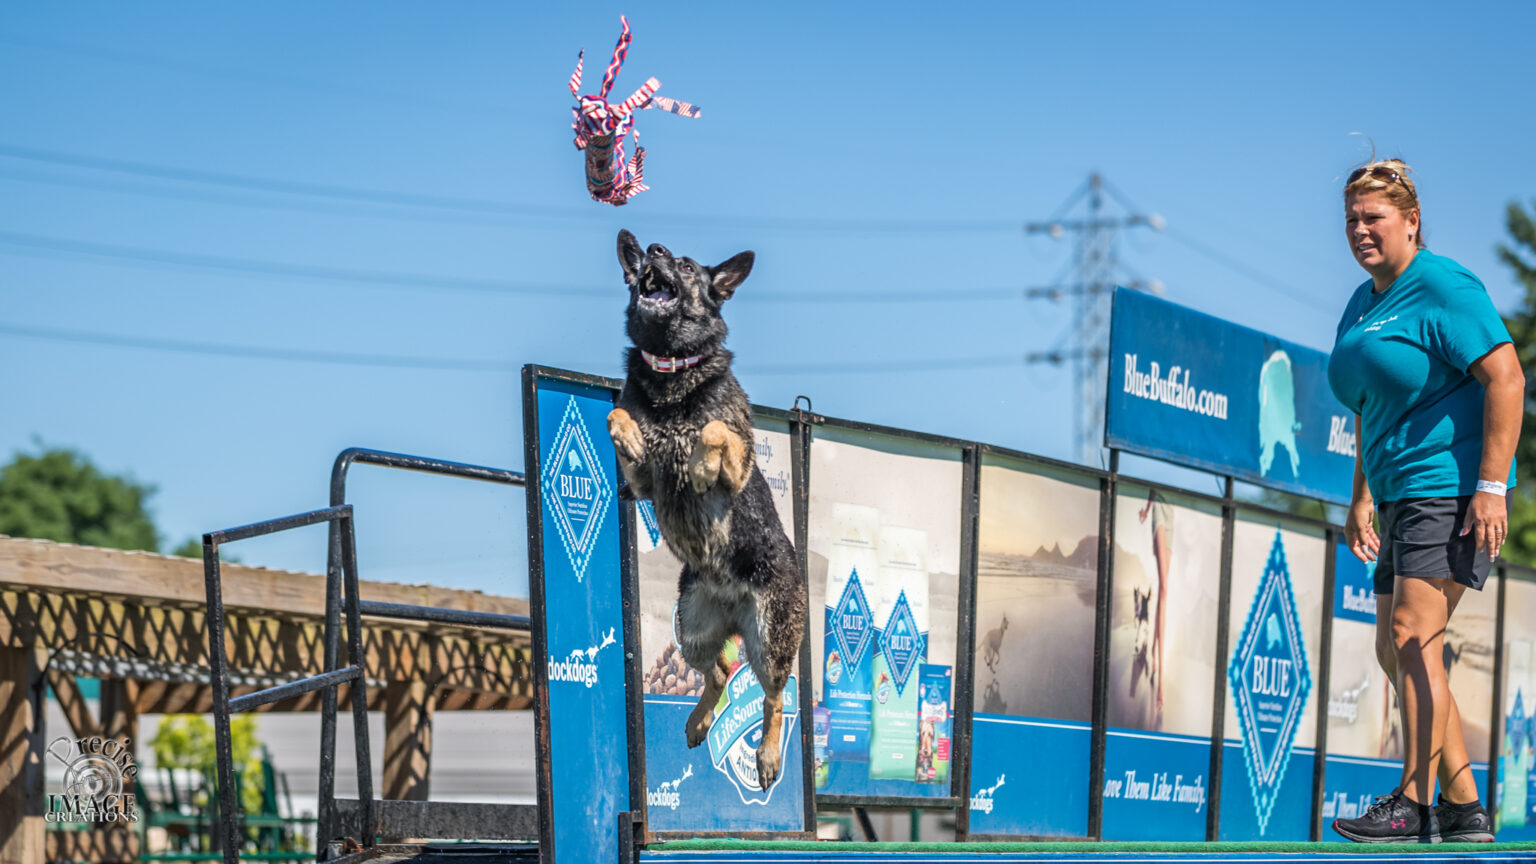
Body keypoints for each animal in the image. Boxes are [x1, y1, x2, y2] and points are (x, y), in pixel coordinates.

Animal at [608, 229, 811, 787]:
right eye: (652, 255)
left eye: (684, 264)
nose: (652, 249)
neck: (671, 371)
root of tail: (733, 607)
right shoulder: (640, 485)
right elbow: (617, 415)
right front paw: (631, 434)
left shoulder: (739, 460)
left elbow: (716, 430)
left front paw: (699, 465)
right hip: (692, 630)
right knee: (719, 673)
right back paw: (699, 722)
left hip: (769, 640)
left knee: (774, 697)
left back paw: (767, 756)